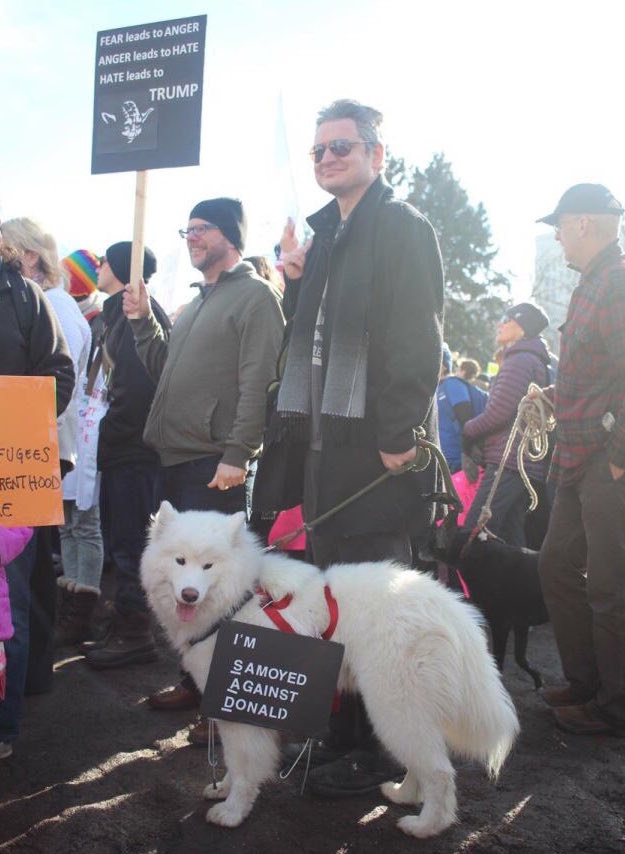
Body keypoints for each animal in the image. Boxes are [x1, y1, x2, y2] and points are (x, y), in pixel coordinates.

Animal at [141, 502, 516, 844]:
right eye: (179, 560)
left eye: (208, 565)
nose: (189, 594)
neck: (238, 599)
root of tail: (455, 610)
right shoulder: (232, 703)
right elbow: (234, 764)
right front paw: (222, 789)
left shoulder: (241, 708)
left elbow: (245, 767)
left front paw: (232, 812)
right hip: (409, 711)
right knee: (423, 762)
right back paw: (403, 794)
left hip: (393, 706)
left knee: (439, 772)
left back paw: (425, 826)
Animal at [426, 516, 548, 688]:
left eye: (432, 535)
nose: (420, 549)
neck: (472, 548)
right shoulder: (521, 624)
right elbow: (521, 657)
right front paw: (537, 678)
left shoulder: (500, 623)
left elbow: (499, 660)